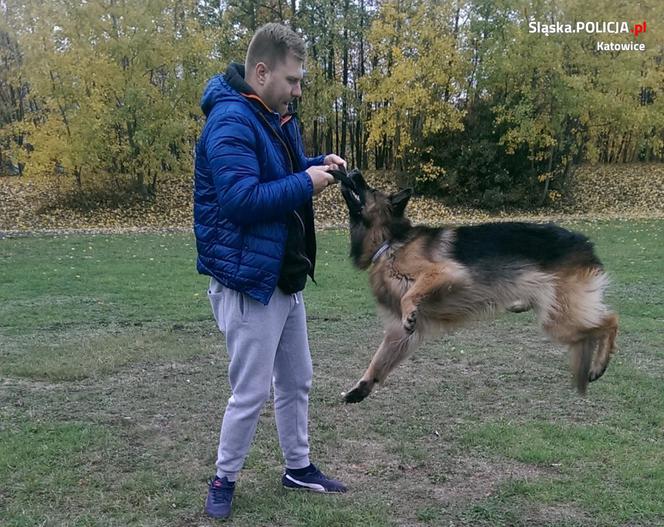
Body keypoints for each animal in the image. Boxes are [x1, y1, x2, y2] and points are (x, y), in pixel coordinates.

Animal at [334, 169, 620, 404]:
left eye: (370, 189)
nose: (353, 169)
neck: (391, 241)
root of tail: (584, 243)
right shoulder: (398, 334)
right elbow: (378, 361)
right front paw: (361, 388)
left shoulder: (448, 273)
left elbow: (412, 296)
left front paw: (410, 311)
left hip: (559, 320)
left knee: (609, 321)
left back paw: (599, 365)